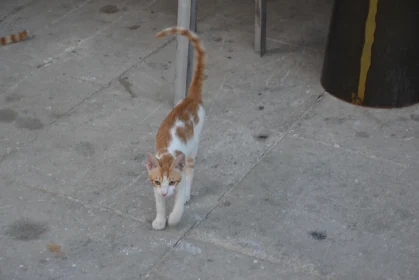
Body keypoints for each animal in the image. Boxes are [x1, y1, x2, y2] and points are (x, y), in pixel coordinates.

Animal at [146, 26, 207, 231]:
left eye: (172, 181)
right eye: (158, 181)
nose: (166, 192)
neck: (167, 154)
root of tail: (191, 99)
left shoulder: (178, 181)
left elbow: (179, 203)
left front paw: (173, 218)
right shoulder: (155, 187)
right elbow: (159, 204)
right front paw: (159, 220)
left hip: (193, 147)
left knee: (190, 171)